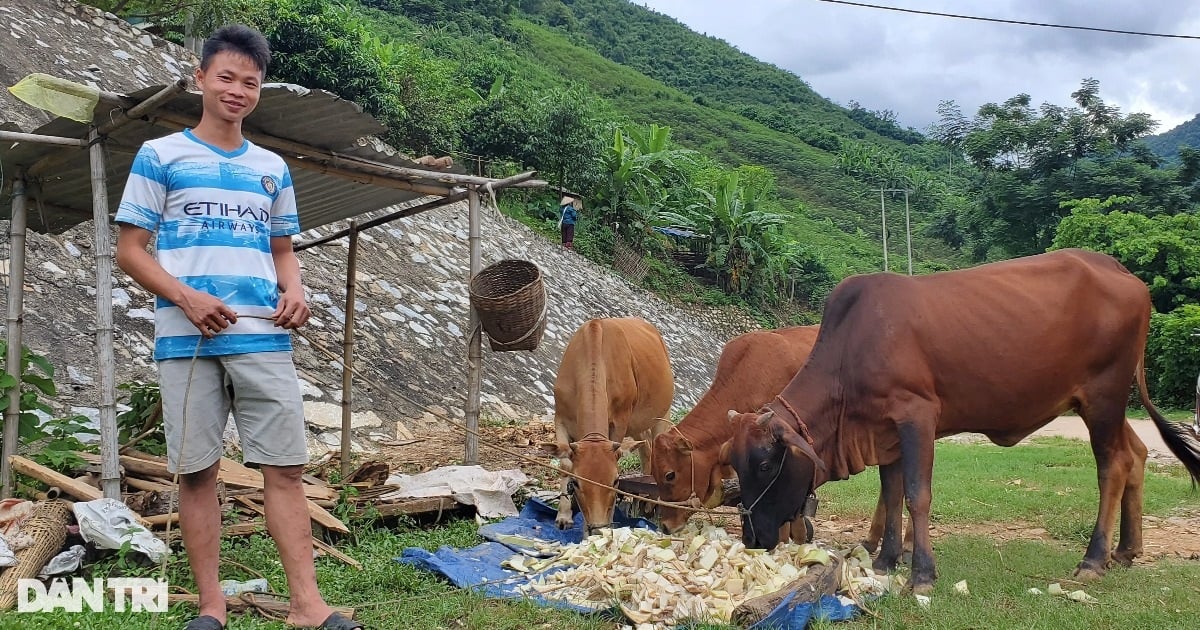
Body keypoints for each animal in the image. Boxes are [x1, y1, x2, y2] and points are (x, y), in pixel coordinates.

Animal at [544, 314, 676, 530]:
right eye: (576, 483)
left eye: (615, 481)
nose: (597, 525)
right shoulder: (561, 417)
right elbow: (564, 465)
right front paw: (564, 516)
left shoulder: (619, 422)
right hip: (637, 423)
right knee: (646, 448)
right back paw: (645, 501)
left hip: (662, 414)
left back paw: (655, 505)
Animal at [720, 248, 1200, 592]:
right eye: (736, 465)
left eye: (765, 464)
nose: (751, 538)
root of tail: (1119, 269)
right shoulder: (883, 432)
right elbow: (891, 495)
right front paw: (886, 560)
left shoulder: (916, 416)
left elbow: (917, 495)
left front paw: (921, 573)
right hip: (1101, 404)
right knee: (1136, 453)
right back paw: (1127, 550)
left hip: (1104, 397)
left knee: (1112, 466)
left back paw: (1094, 559)